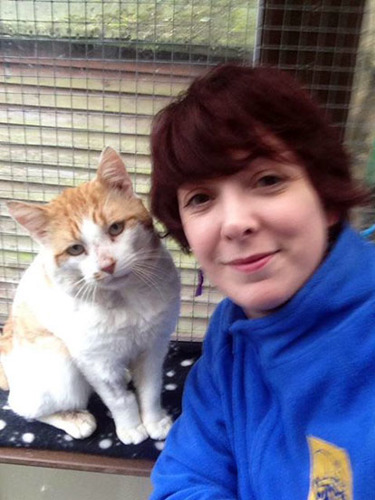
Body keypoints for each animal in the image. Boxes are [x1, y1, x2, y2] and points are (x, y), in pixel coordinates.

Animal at [0, 146, 182, 446]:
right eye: (75, 249)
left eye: (116, 228)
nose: (107, 264)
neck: (124, 301)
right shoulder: (96, 362)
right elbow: (119, 399)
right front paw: (132, 427)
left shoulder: (154, 346)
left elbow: (151, 388)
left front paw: (155, 420)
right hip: (61, 365)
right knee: (22, 405)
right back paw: (75, 419)